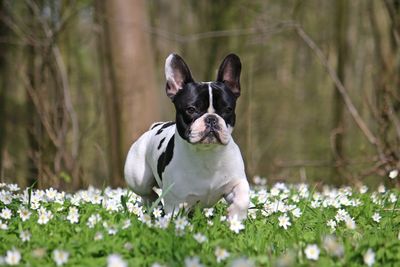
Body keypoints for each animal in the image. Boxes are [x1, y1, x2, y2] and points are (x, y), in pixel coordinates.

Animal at [124, 53, 250, 221]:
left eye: (228, 109)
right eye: (191, 109)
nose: (211, 119)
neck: (207, 154)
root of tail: (155, 126)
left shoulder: (236, 182)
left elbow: (243, 198)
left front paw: (235, 216)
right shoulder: (175, 203)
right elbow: (176, 220)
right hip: (138, 177)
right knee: (146, 193)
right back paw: (154, 204)